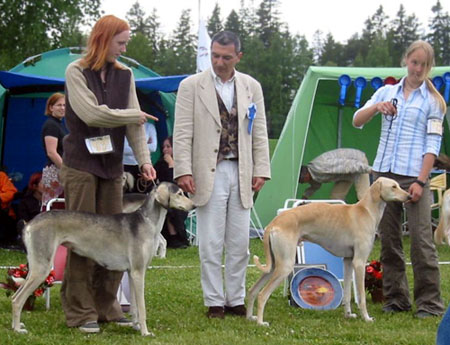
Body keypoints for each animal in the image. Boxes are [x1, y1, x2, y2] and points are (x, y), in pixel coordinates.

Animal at [11, 181, 194, 334]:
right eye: (180, 193)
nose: (194, 205)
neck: (147, 221)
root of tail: (30, 223)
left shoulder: (132, 272)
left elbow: (135, 307)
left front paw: (136, 327)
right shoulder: (138, 272)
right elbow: (142, 308)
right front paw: (145, 332)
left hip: (36, 267)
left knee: (14, 297)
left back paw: (16, 326)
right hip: (42, 268)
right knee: (18, 300)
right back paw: (18, 330)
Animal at [246, 177, 412, 326]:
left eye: (398, 185)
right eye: (393, 186)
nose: (409, 196)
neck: (366, 211)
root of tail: (273, 224)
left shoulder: (348, 261)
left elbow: (347, 293)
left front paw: (348, 314)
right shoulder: (359, 262)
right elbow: (362, 297)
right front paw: (366, 318)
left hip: (274, 265)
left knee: (253, 291)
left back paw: (250, 317)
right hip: (285, 265)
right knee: (262, 294)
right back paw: (260, 322)